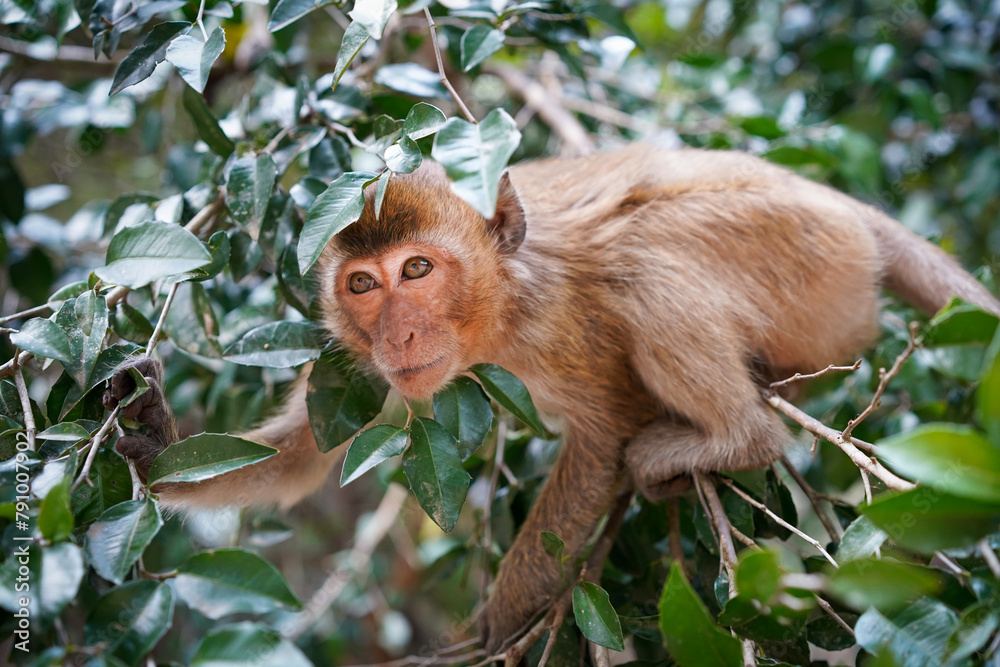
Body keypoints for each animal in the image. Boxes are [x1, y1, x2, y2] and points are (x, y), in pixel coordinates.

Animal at [103, 143, 1000, 652]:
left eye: (416, 269)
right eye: (361, 285)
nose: (397, 334)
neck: (502, 297)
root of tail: (851, 211)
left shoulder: (554, 326)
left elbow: (602, 438)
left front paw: (481, 637)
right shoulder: (382, 376)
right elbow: (302, 455)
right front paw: (152, 439)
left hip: (816, 263)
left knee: (646, 257)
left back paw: (734, 438)